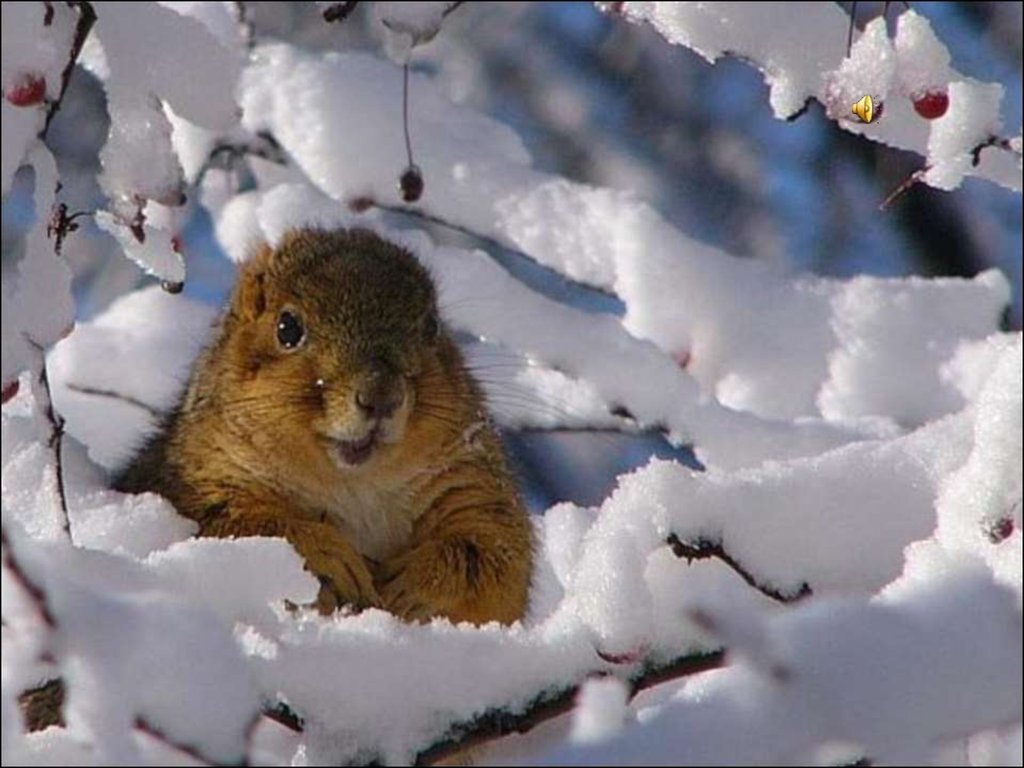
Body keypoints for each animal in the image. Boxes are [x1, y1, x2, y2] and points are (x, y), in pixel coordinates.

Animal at [117, 228, 536, 626]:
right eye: (287, 328)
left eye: (431, 326)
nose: (381, 395)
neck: (354, 485)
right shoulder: (196, 479)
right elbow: (242, 526)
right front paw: (326, 556)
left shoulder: (473, 484)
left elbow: (496, 555)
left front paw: (417, 580)